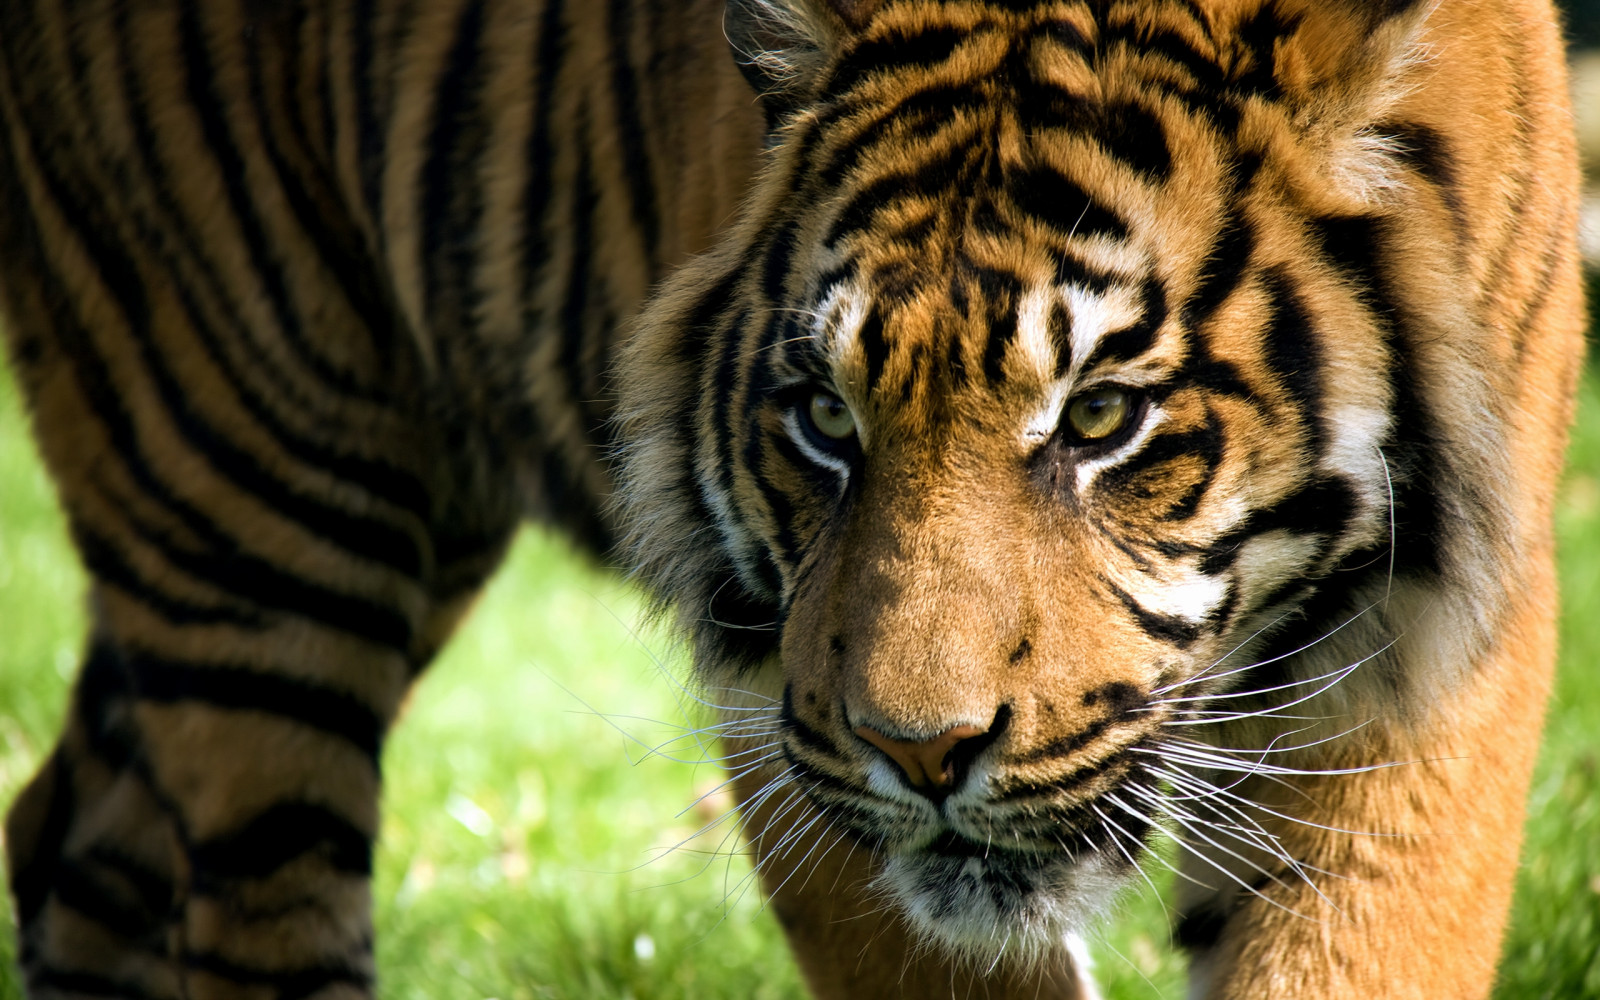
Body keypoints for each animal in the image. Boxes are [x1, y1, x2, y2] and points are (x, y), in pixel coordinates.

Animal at [0, 0, 1584, 995]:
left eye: (1102, 417)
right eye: (828, 417)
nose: (920, 753)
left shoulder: (1426, 655)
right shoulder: (784, 709)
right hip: (255, 498)